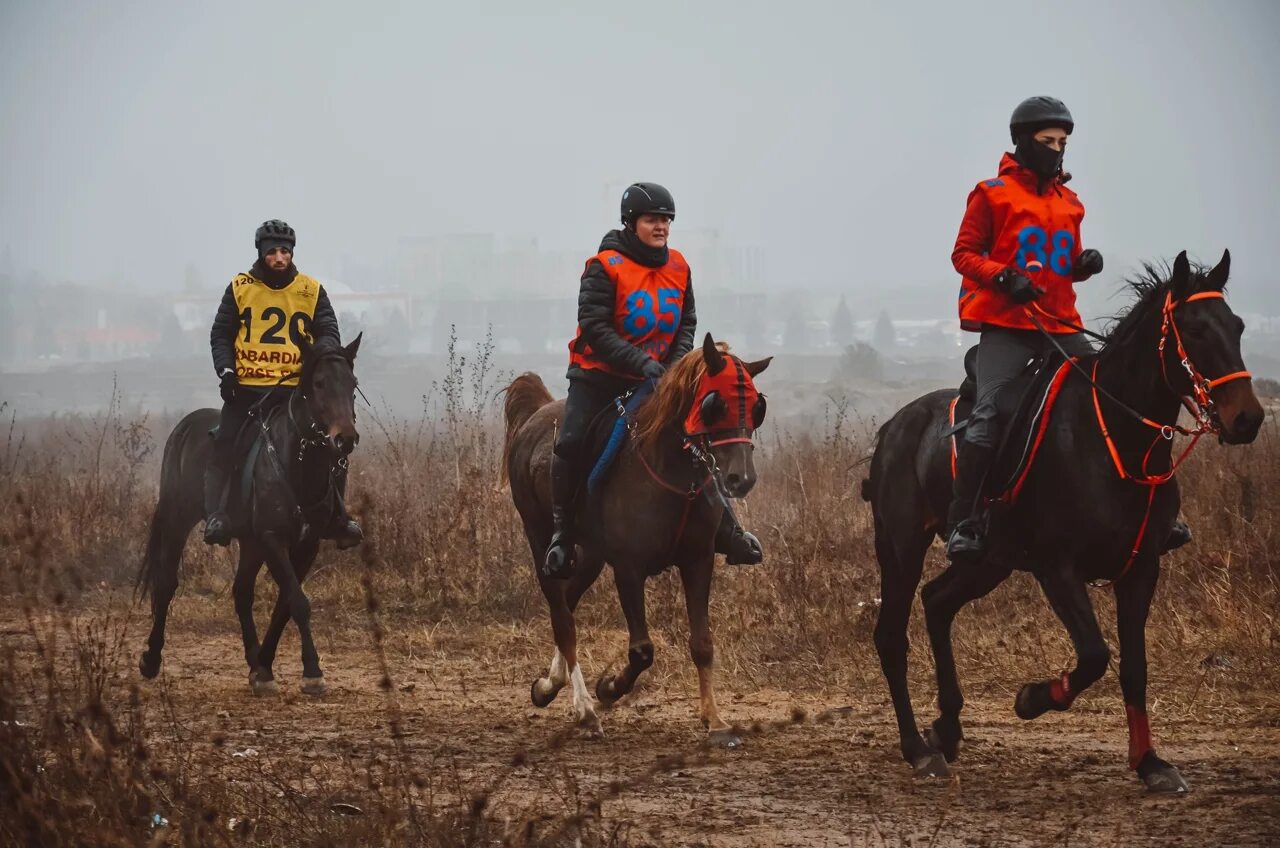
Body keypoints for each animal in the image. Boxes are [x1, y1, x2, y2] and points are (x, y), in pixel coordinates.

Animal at [135, 335, 363, 696]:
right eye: (319, 383)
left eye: (352, 384)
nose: (345, 438)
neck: (297, 465)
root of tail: (184, 425)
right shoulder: (273, 539)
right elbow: (298, 602)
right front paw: (312, 671)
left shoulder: (306, 544)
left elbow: (285, 604)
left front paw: (265, 668)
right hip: (177, 519)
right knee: (167, 583)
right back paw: (151, 659)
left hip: (250, 542)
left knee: (241, 593)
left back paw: (254, 659)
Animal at [501, 335, 768, 748]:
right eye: (715, 404)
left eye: (757, 407)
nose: (742, 478)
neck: (670, 472)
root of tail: (537, 413)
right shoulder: (628, 568)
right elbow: (642, 651)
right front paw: (608, 688)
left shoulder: (698, 560)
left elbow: (702, 643)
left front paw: (715, 720)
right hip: (541, 539)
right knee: (563, 618)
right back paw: (585, 710)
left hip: (590, 556)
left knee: (568, 603)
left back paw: (549, 684)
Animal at [865, 251, 1264, 789]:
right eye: (1195, 329)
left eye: (1237, 326)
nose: (1248, 419)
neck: (1115, 439)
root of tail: (895, 425)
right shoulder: (1058, 570)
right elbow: (1095, 655)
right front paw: (1032, 699)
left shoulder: (1141, 569)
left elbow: (1134, 668)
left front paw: (1150, 763)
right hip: (902, 547)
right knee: (892, 635)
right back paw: (918, 749)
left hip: (988, 562)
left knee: (937, 602)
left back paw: (946, 729)